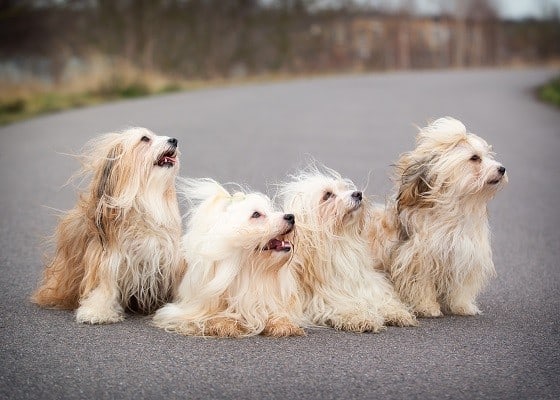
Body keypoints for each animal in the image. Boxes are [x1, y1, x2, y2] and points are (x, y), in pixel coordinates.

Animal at [31, 126, 185, 324]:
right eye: (145, 139)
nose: (174, 140)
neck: (141, 199)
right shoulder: (106, 259)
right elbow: (104, 287)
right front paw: (96, 311)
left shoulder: (166, 256)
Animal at [278, 164, 416, 332]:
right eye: (327, 195)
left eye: (344, 188)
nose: (358, 194)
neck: (340, 244)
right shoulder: (322, 299)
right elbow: (342, 306)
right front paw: (360, 317)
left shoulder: (365, 283)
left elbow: (379, 297)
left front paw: (395, 311)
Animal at [368, 117, 508, 318]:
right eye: (475, 158)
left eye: (488, 155)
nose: (502, 169)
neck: (455, 212)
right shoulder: (418, 258)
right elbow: (421, 284)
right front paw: (428, 307)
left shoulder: (464, 253)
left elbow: (461, 287)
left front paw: (462, 306)